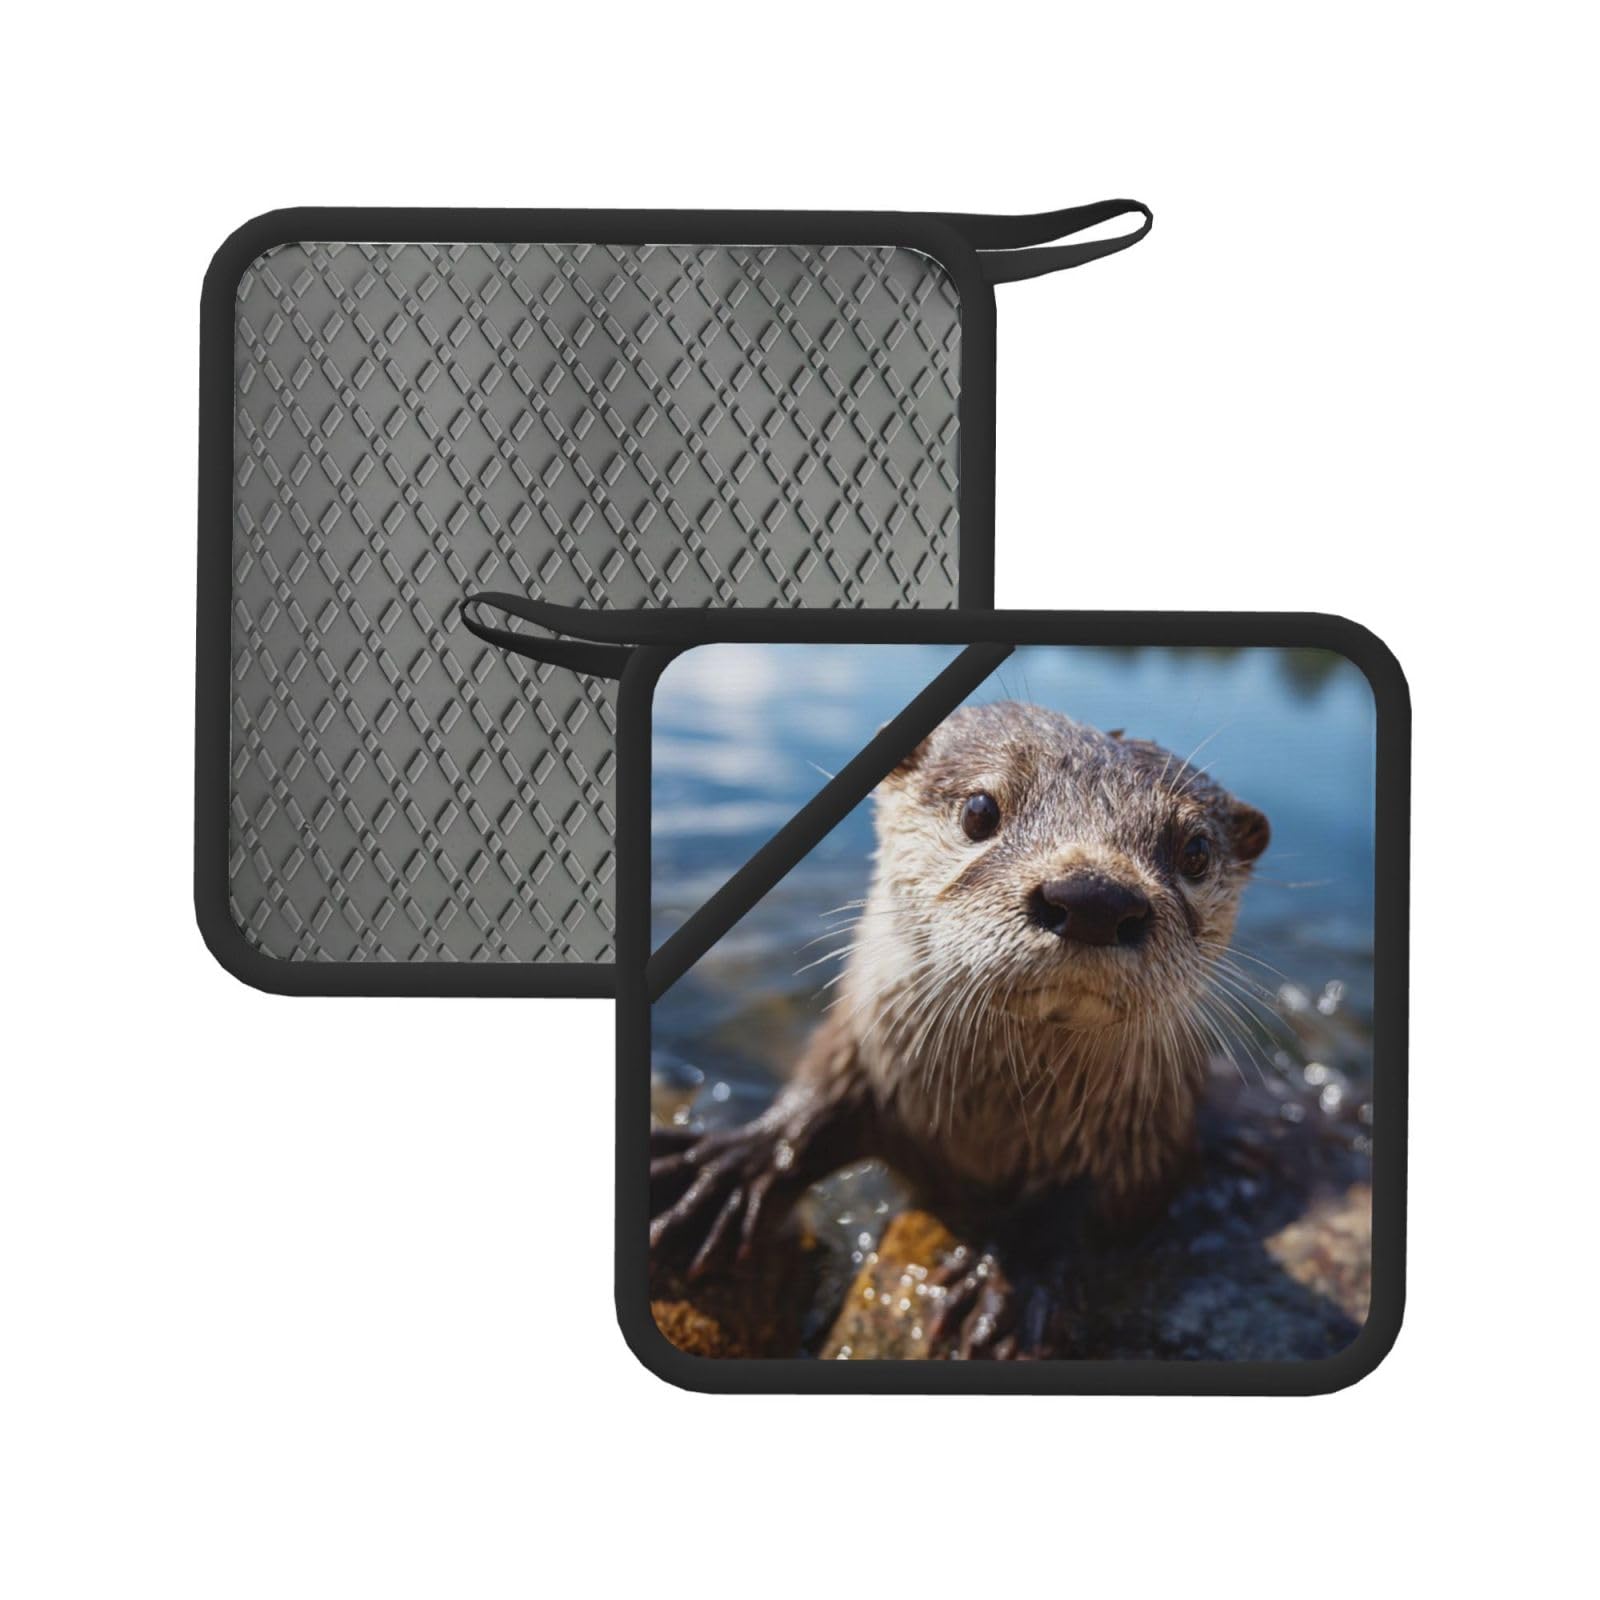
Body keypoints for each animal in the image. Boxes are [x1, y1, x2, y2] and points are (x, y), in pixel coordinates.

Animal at [650, 700, 1271, 1355]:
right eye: (980, 810)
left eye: (1195, 851)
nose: (1095, 897)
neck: (993, 1122)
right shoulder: (862, 1056)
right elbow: (815, 1108)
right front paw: (725, 1170)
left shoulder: (1148, 1138)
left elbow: (1091, 1206)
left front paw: (1014, 1278)